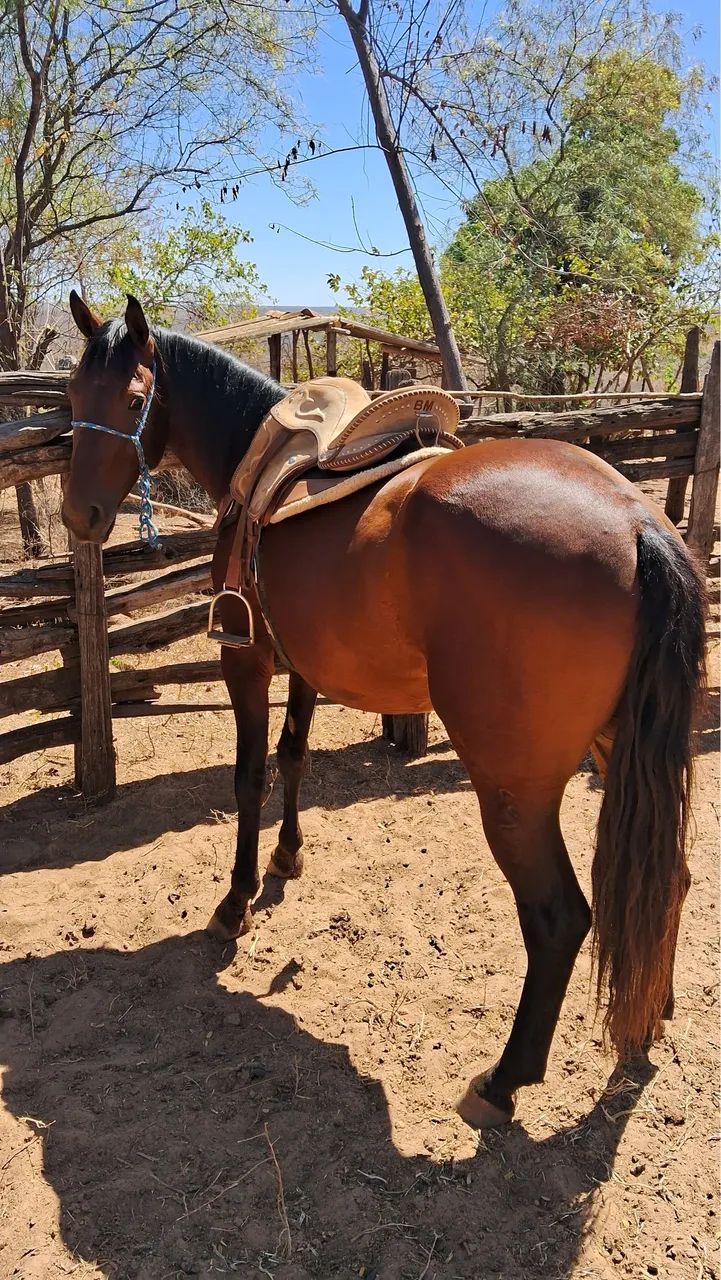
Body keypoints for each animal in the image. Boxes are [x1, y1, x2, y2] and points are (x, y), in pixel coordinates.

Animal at [61, 293, 706, 1129]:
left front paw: (234, 903)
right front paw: (287, 859)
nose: (79, 515)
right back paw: (650, 1013)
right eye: (72, 394)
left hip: (514, 788)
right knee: (671, 879)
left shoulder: (248, 657)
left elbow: (248, 778)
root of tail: (639, 522)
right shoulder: (304, 660)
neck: (255, 454)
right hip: (619, 751)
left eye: (135, 398)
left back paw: (503, 1080)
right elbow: (294, 756)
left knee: (560, 918)